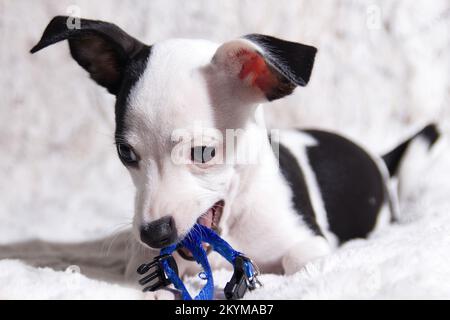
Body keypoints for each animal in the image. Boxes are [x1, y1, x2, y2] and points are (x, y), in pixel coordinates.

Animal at [30, 16, 440, 298]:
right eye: (126, 153)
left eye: (204, 152)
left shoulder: (310, 243)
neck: (235, 223)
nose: (154, 233)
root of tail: (377, 157)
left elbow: (299, 262)